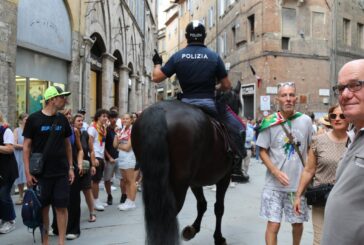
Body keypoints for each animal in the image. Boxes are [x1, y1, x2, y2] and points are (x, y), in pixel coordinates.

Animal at [131, 83, 242, 245]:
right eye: (239, 104)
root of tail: (159, 111)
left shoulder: (195, 181)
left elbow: (202, 204)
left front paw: (192, 229)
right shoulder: (224, 177)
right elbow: (219, 208)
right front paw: (218, 237)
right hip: (178, 184)